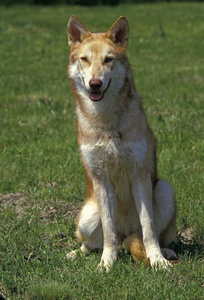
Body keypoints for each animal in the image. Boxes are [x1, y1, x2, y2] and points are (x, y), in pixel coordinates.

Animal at [66, 15, 177, 270]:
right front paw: (107, 264)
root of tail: (127, 236)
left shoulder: (140, 176)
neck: (107, 123)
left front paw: (157, 260)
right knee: (94, 243)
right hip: (87, 215)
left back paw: (166, 252)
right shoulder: (102, 180)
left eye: (108, 59)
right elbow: (109, 232)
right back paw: (77, 254)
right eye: (85, 59)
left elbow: (148, 229)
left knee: (151, 236)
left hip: (165, 190)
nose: (95, 83)